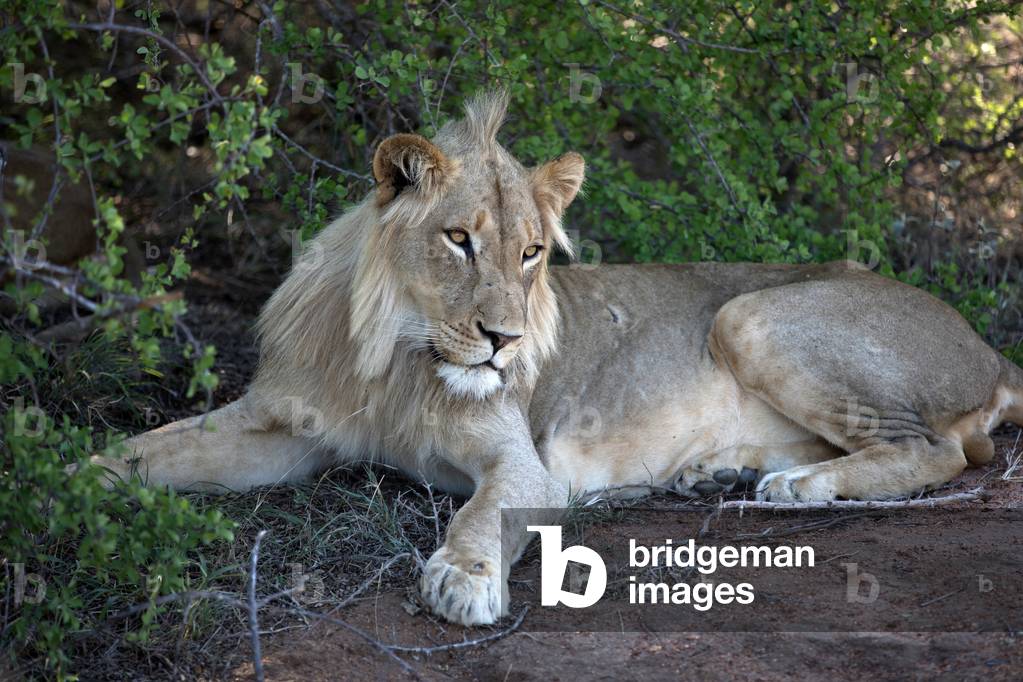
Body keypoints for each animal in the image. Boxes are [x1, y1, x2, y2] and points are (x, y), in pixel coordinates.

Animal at [94, 91, 1023, 626]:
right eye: (459, 241)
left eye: (533, 253)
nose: (504, 340)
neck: (393, 356)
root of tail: (988, 343)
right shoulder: (282, 429)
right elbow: (142, 453)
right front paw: (70, 486)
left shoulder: (524, 465)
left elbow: (482, 514)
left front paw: (462, 579)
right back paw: (718, 473)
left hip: (749, 313)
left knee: (938, 450)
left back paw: (795, 487)